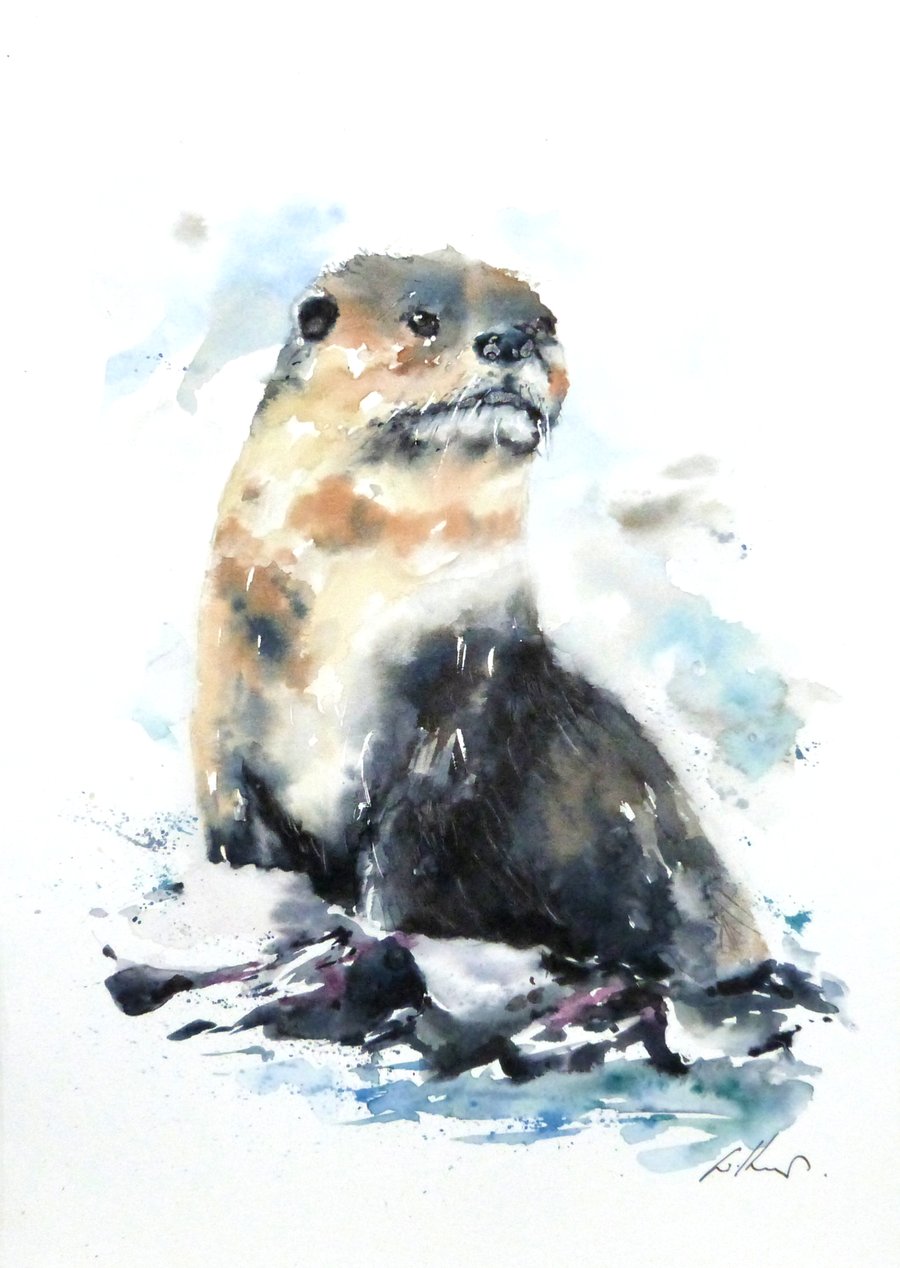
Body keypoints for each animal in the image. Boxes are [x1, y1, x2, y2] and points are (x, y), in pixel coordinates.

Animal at [191, 247, 767, 991]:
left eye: (546, 322)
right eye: (422, 319)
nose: (511, 340)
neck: (347, 613)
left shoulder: (471, 694)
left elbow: (410, 850)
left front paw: (377, 928)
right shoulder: (224, 706)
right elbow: (238, 823)